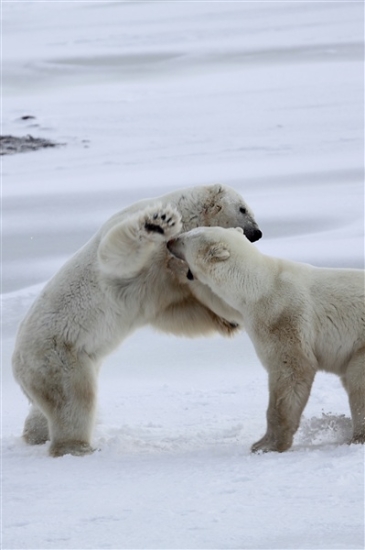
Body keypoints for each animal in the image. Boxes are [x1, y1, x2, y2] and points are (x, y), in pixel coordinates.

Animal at [12, 185, 262, 458]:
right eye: (243, 209)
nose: (257, 233)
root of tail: (16, 363)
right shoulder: (130, 242)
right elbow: (114, 254)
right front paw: (157, 223)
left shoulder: (162, 282)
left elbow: (176, 310)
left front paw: (229, 319)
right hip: (57, 355)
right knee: (74, 399)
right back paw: (78, 447)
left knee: (44, 407)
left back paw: (36, 434)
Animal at [167, 224, 364, 452]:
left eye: (188, 237)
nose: (169, 242)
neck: (258, 286)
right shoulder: (244, 311)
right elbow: (221, 304)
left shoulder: (282, 316)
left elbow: (292, 369)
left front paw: (266, 445)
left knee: (357, 381)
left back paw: (357, 437)